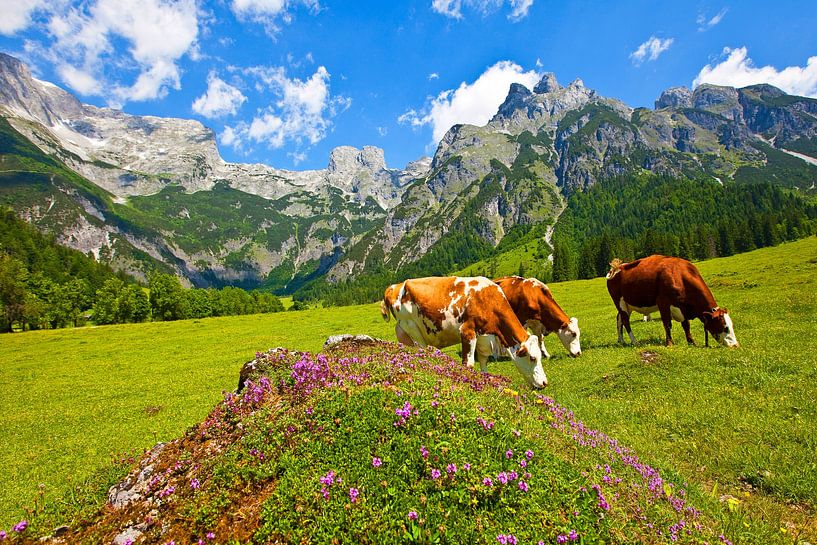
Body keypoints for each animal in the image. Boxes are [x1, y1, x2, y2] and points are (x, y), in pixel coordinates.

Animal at [381, 276, 548, 388]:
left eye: (540, 356)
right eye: (532, 358)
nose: (545, 382)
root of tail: (395, 286)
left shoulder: (483, 338)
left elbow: (483, 364)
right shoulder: (467, 332)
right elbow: (468, 364)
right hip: (412, 328)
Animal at [606, 255, 739, 348]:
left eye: (732, 326)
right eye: (725, 327)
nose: (736, 345)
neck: (679, 276)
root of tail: (616, 268)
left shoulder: (682, 306)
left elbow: (686, 325)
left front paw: (691, 342)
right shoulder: (663, 302)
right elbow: (667, 324)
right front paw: (669, 343)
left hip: (628, 305)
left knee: (619, 319)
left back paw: (621, 340)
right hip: (619, 302)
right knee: (625, 321)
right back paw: (634, 341)